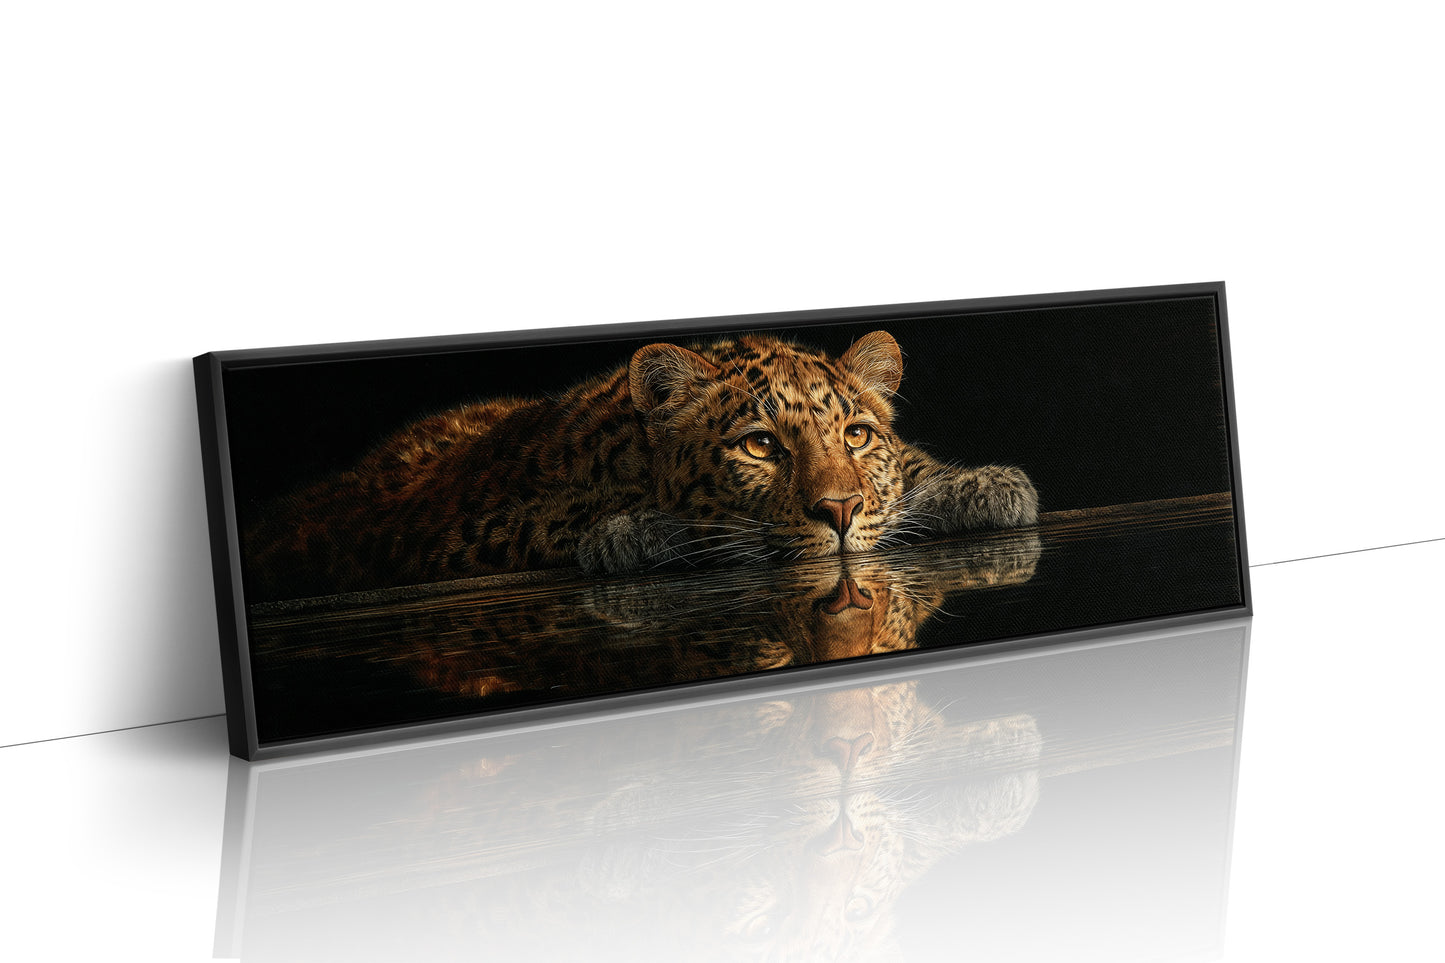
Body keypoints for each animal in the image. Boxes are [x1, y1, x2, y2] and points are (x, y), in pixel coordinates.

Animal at [242, 329, 1037, 601]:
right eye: (759, 446)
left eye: (857, 435)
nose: (837, 510)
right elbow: (565, 514)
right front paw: (639, 532)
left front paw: (985, 486)